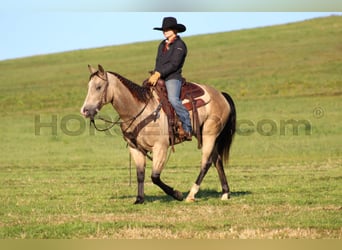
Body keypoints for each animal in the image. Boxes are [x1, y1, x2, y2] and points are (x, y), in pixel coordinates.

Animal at [81, 64, 235, 203]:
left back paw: (191, 195)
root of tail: (221, 95)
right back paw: (225, 193)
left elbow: (155, 177)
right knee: (217, 160)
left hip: (210, 133)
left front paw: (177, 194)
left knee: (206, 162)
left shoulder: (160, 147)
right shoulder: (135, 148)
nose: (85, 111)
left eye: (99, 87)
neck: (139, 111)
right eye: (88, 87)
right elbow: (140, 174)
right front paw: (139, 199)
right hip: (202, 134)